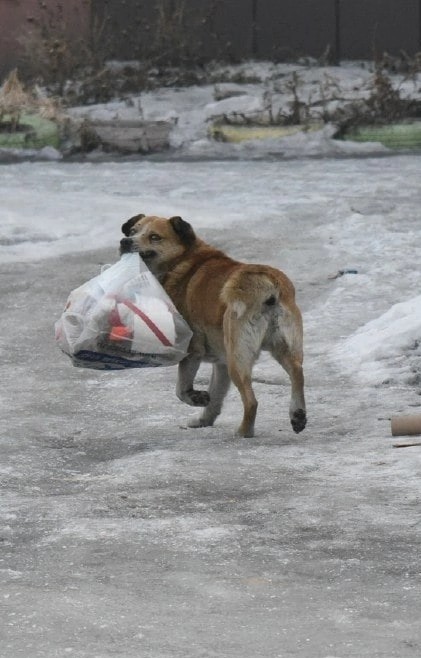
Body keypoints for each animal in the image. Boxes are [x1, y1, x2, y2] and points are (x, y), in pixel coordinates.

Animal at [119, 214, 306, 436]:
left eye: (154, 237)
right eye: (133, 231)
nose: (125, 242)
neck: (182, 263)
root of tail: (268, 284)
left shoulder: (193, 351)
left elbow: (181, 390)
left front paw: (197, 398)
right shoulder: (221, 363)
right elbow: (216, 397)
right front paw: (204, 420)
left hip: (238, 358)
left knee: (252, 401)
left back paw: (244, 432)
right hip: (283, 346)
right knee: (297, 373)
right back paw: (298, 415)